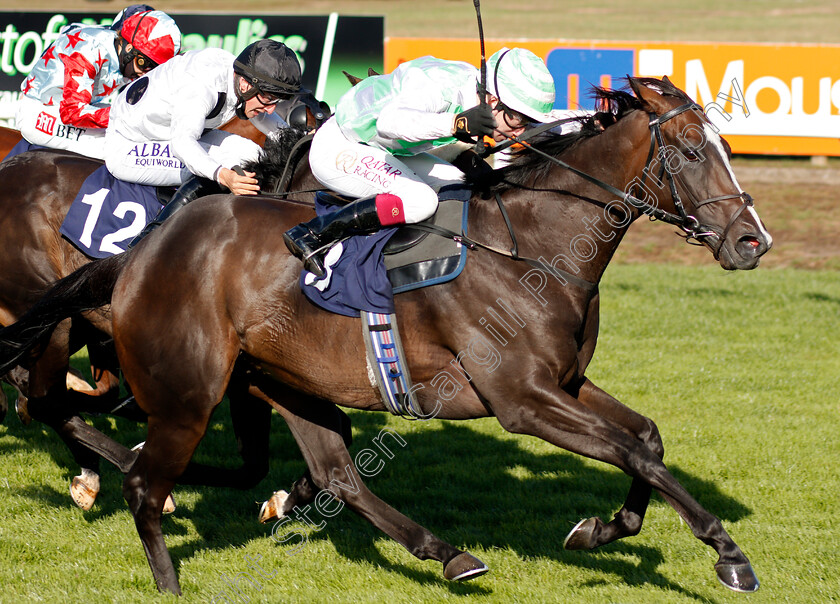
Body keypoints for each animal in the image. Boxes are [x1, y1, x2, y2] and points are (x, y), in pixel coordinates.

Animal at [0, 78, 772, 592]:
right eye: (692, 151)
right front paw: (728, 554)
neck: (532, 248)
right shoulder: (522, 401)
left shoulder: (565, 382)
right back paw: (156, 554)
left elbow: (646, 440)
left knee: (335, 473)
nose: (751, 242)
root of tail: (139, 253)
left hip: (285, 381)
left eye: (727, 145)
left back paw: (446, 552)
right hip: (189, 390)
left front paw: (604, 528)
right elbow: (632, 452)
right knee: (119, 461)